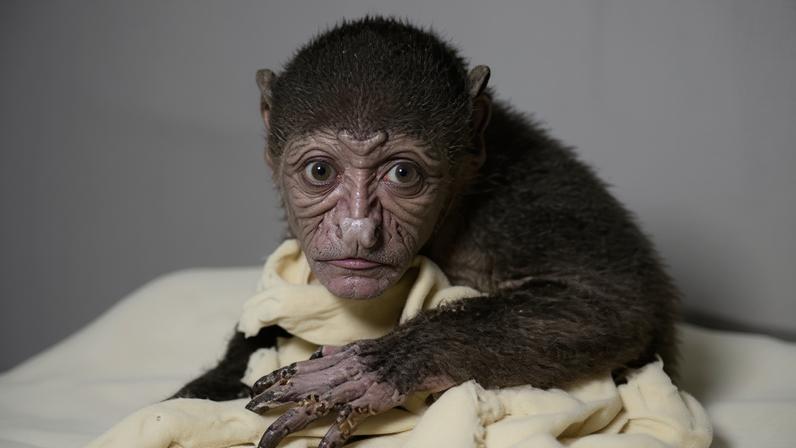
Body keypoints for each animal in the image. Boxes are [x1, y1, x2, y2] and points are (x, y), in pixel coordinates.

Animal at [170, 16, 679, 448]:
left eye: (403, 174)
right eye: (319, 171)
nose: (357, 229)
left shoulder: (530, 200)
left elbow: (610, 300)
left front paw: (384, 363)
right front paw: (207, 389)